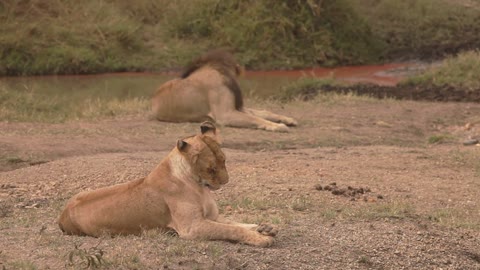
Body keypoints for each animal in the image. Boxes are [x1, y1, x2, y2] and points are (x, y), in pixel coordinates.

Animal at [58, 122, 278, 247]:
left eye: (224, 160)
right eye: (211, 168)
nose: (226, 181)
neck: (199, 186)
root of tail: (62, 216)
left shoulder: (212, 217)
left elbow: (236, 222)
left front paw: (266, 227)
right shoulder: (192, 227)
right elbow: (230, 230)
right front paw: (261, 238)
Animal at [152, 49, 298, 133]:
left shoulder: (237, 107)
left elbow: (262, 113)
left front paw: (287, 119)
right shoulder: (225, 114)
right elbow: (255, 118)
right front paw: (277, 126)